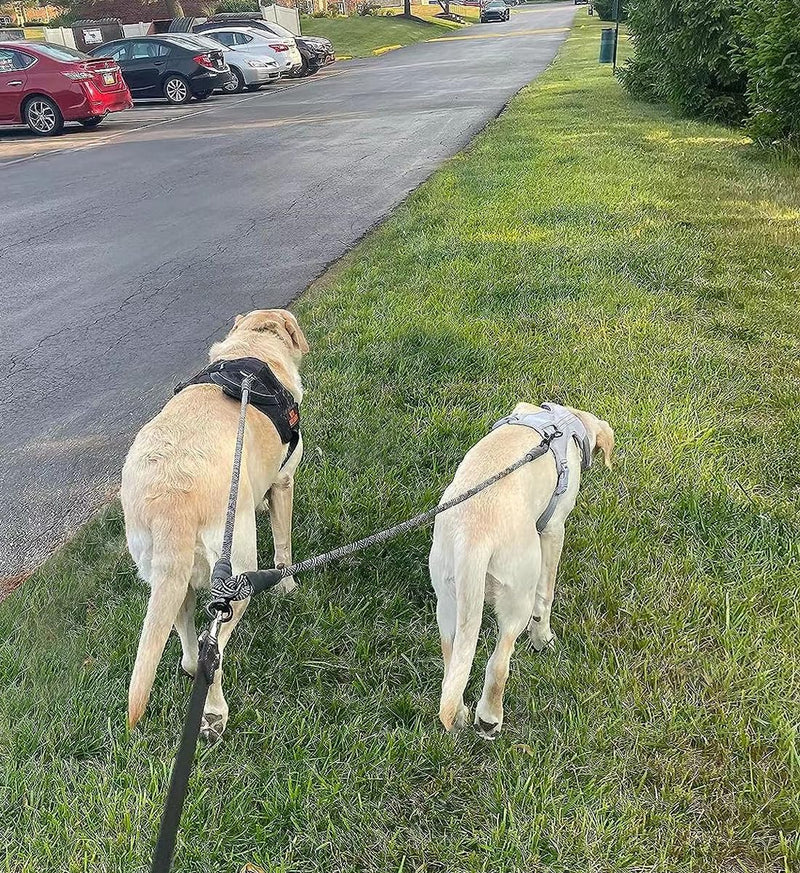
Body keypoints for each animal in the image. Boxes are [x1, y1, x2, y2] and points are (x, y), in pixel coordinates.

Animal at [122, 310, 310, 740]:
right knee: (215, 651)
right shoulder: (284, 480)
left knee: (192, 654)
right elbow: (283, 545)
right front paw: (288, 585)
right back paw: (214, 713)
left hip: (168, 579)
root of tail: (171, 500)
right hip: (236, 573)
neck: (253, 345)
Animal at [432, 402, 612, 736]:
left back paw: (460, 714)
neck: (564, 421)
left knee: (453, 667)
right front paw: (543, 637)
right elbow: (546, 595)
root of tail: (474, 538)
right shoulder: (553, 529)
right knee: (498, 662)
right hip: (518, 595)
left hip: (449, 601)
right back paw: (490, 718)